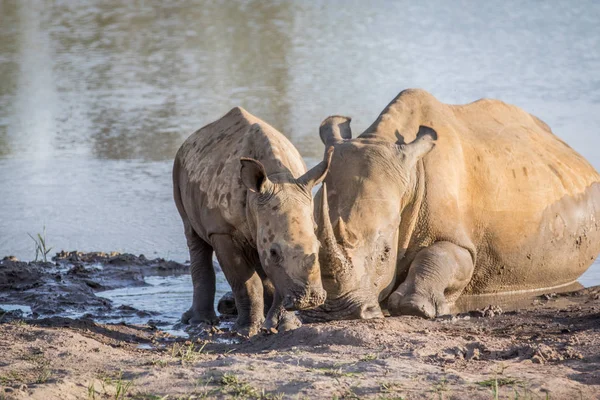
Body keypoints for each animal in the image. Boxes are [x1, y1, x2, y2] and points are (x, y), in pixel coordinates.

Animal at [173, 106, 330, 334]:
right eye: (274, 252)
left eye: (319, 247)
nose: (310, 299)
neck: (276, 177)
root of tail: (194, 137)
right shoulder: (223, 230)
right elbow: (244, 280)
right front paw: (246, 331)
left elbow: (275, 275)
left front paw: (285, 326)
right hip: (179, 166)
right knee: (193, 236)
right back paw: (198, 322)